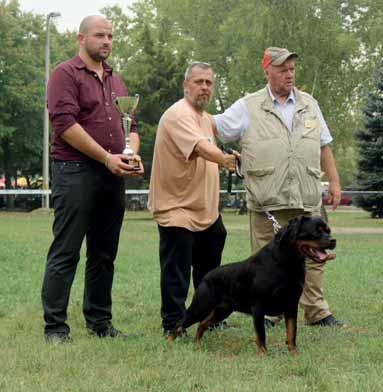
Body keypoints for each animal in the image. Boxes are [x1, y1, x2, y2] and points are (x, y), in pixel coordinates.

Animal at [177, 214, 336, 356]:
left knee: (202, 324)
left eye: (328, 231)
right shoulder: (258, 306)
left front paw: (294, 352)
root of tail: (206, 276)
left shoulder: (291, 304)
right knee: (180, 324)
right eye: (316, 232)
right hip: (201, 306)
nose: (333, 240)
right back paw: (173, 343)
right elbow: (261, 334)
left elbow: (292, 331)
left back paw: (197, 344)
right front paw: (263, 354)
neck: (288, 261)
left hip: (222, 310)